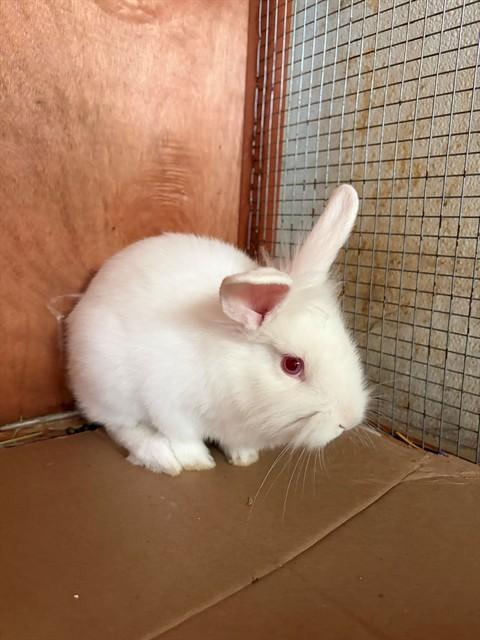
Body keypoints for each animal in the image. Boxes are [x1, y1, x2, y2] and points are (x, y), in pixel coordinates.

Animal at [66, 184, 368, 475]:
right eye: (292, 365)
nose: (348, 421)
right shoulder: (169, 405)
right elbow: (184, 438)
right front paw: (197, 462)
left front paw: (245, 458)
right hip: (109, 385)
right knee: (119, 426)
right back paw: (160, 457)